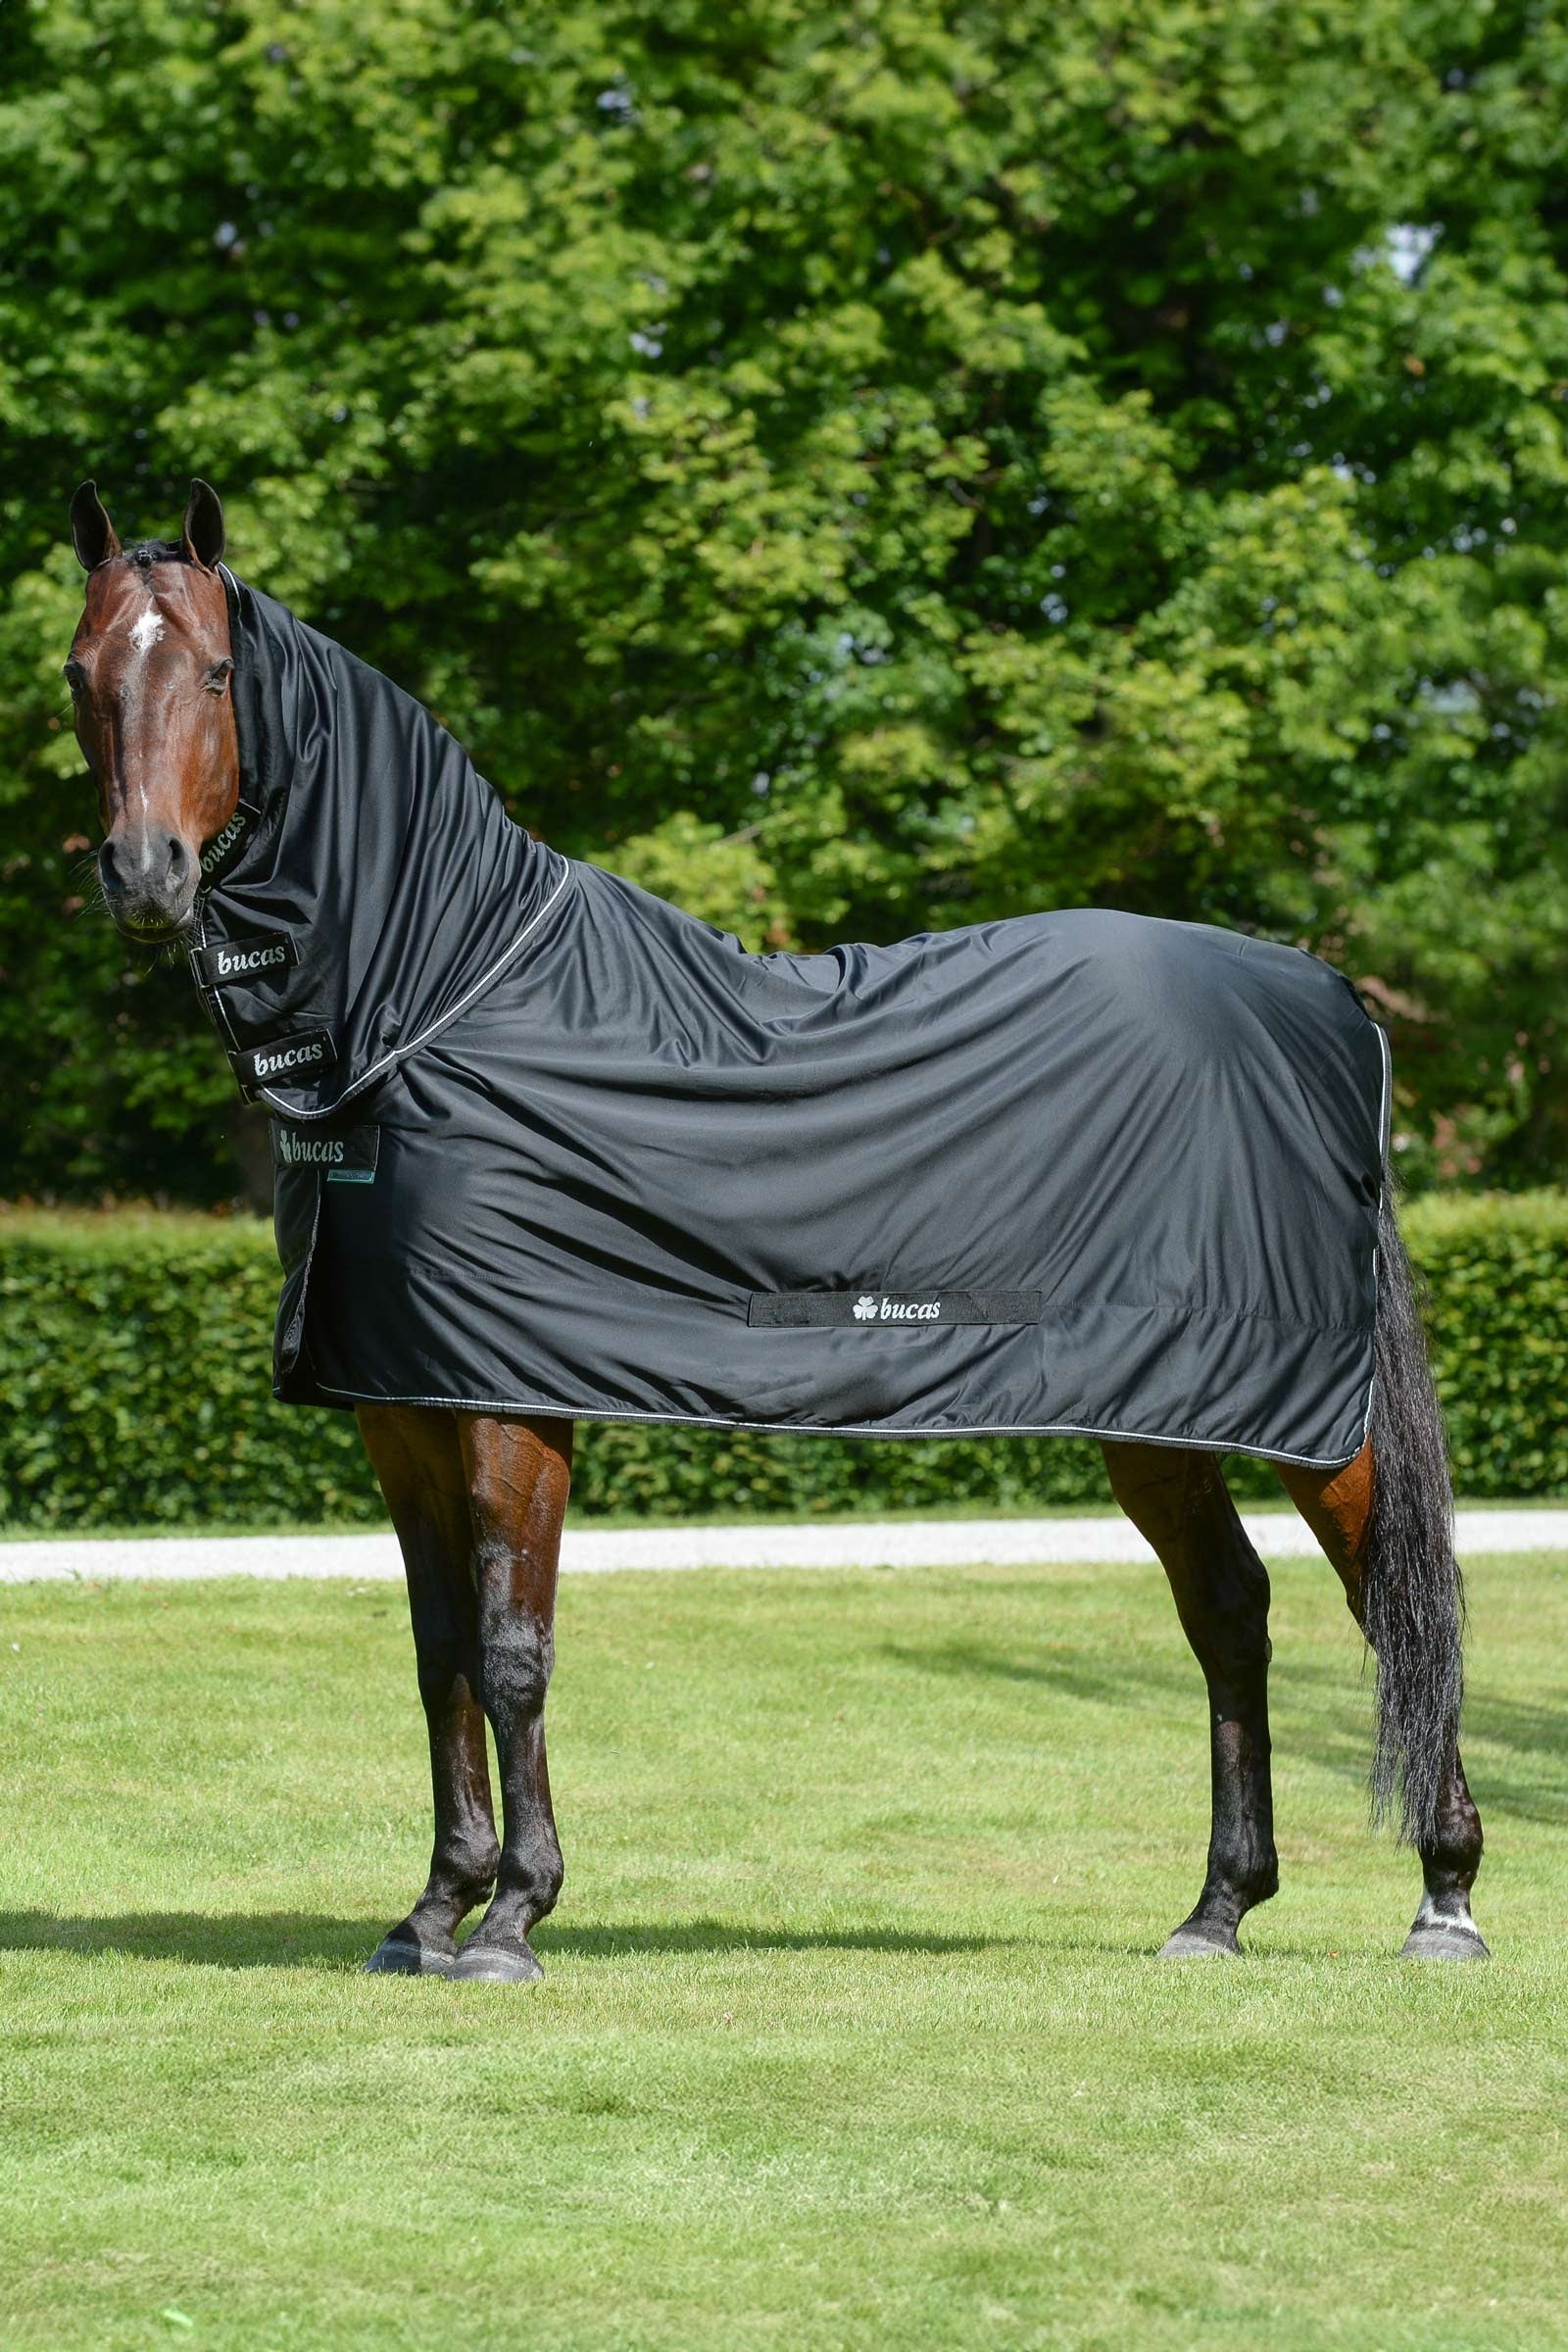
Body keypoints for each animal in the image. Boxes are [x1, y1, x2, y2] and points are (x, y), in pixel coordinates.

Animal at [64, 476, 1488, 1981]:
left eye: (216, 674)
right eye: (81, 675)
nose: (145, 875)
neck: (443, 997)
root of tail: (1332, 1003)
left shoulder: (513, 1402)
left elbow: (512, 1647)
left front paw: (512, 1917)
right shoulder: (400, 1401)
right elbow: (438, 1645)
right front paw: (430, 1910)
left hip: (1305, 1409)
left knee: (1389, 1598)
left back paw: (1444, 1899)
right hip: (1157, 1406)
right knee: (1228, 1610)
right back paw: (1217, 1909)